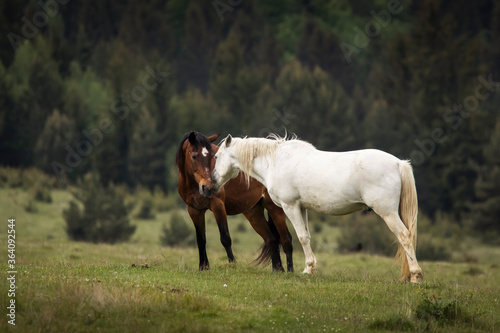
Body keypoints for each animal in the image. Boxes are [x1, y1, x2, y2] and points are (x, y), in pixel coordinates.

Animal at [176, 131, 292, 272]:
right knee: (271, 239)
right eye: (194, 156)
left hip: (274, 208)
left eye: (212, 157)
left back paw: (289, 271)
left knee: (286, 239)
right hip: (253, 212)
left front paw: (232, 265)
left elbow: (225, 238)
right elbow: (201, 240)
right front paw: (203, 267)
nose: (208, 187)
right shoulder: (194, 210)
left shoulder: (218, 205)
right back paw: (278, 270)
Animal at [209, 134, 424, 282]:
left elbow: (302, 238)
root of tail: (397, 163)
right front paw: (311, 268)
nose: (210, 183)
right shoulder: (301, 208)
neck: (277, 162)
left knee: (405, 236)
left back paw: (415, 276)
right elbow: (307, 236)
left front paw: (308, 269)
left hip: (388, 213)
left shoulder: (290, 206)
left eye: (217, 156)